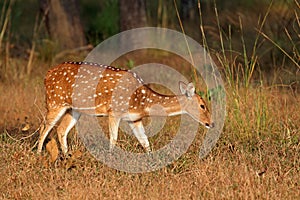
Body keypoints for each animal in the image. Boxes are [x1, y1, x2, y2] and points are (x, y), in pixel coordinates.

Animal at [37, 61, 214, 154]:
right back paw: (38, 154)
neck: (143, 102)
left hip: (73, 109)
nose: (211, 123)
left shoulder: (134, 119)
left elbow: (145, 141)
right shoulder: (114, 112)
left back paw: (66, 156)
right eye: (202, 105)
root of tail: (46, 75)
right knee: (44, 128)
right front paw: (110, 160)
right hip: (55, 102)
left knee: (61, 129)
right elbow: (113, 139)